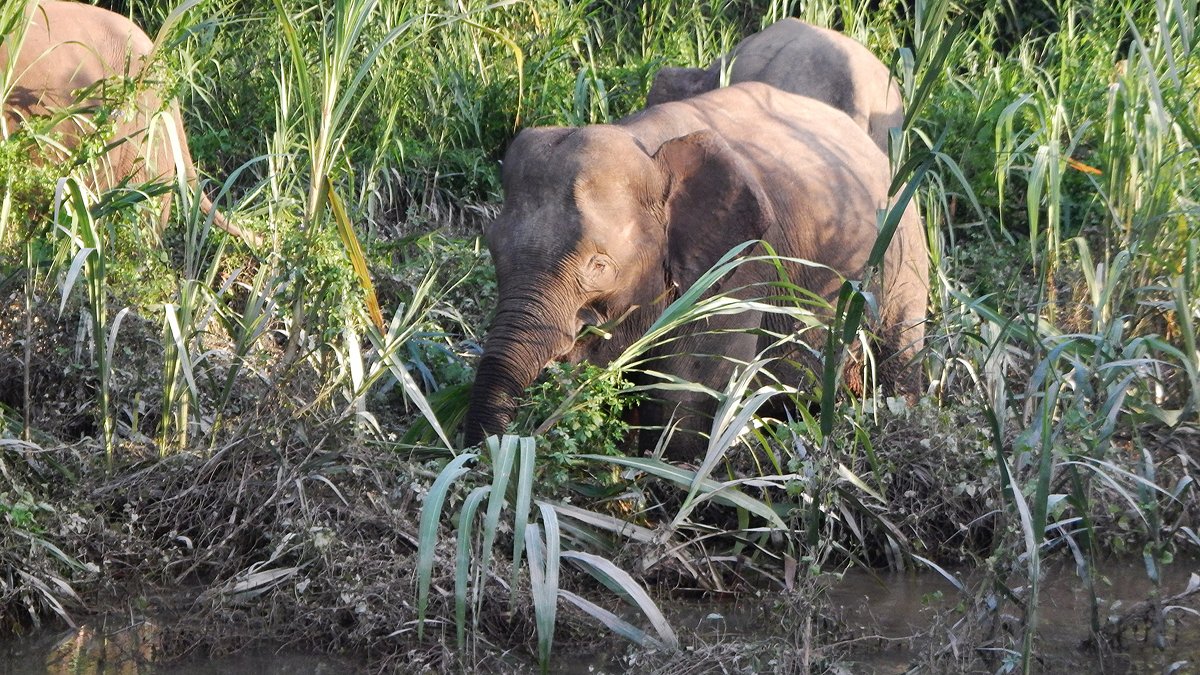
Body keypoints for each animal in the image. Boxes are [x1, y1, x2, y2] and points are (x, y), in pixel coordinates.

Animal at [460, 82, 926, 451]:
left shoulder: (739, 268)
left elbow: (690, 396)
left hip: (904, 256)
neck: (642, 141)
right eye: (494, 251)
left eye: (598, 264)